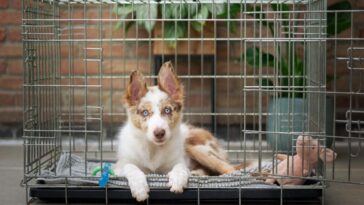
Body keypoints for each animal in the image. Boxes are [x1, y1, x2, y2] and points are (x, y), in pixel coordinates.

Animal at [114, 61, 245, 202]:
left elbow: (180, 166)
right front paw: (139, 188)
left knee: (228, 168)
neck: (153, 149)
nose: (159, 133)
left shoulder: (178, 161)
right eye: (145, 113)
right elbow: (131, 167)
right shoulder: (119, 166)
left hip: (196, 147)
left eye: (167, 110)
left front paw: (177, 180)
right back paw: (197, 173)